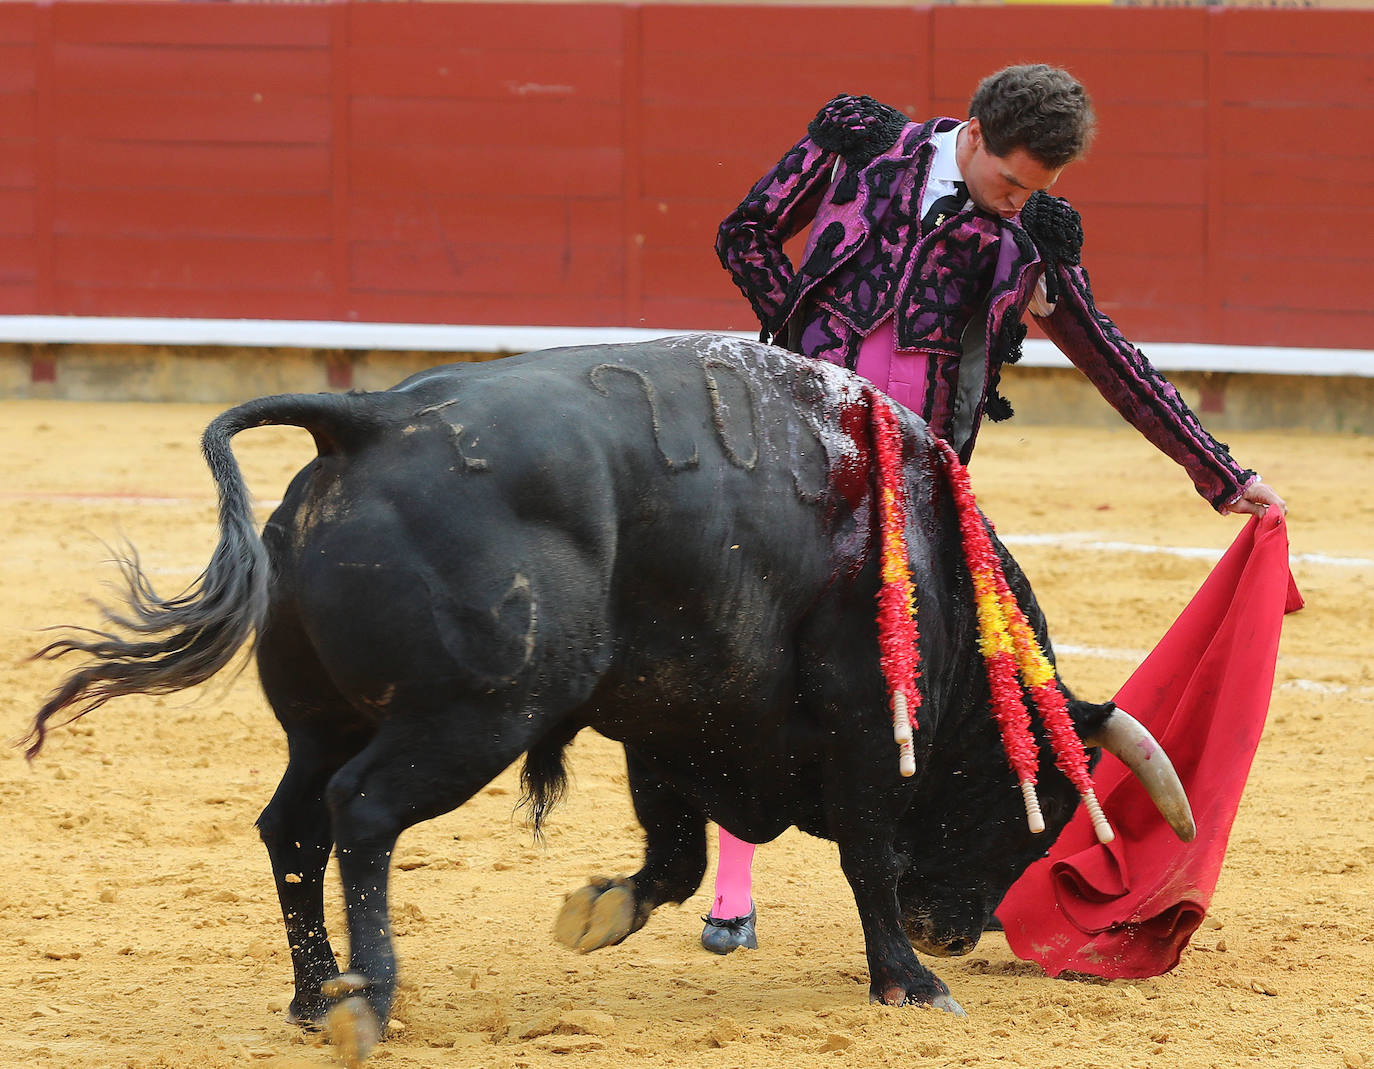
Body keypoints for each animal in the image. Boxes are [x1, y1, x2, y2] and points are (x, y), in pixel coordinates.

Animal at [26, 331, 1187, 1055]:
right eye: (1036, 808)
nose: (956, 933)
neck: (935, 575)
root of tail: (368, 423)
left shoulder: (674, 723)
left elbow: (674, 859)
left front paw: (594, 913)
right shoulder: (858, 726)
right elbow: (863, 853)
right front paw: (911, 981)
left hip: (323, 719)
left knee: (291, 826)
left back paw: (318, 996)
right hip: (472, 717)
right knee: (361, 813)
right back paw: (373, 998)